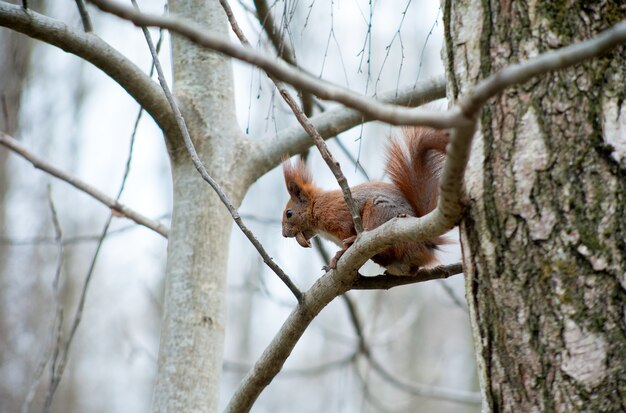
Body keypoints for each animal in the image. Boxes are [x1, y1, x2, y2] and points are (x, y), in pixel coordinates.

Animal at [280, 125, 448, 274]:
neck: (316, 206)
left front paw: (338, 255)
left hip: (378, 213)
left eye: (289, 213)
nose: (284, 235)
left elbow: (347, 231)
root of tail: (425, 245)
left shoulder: (339, 218)